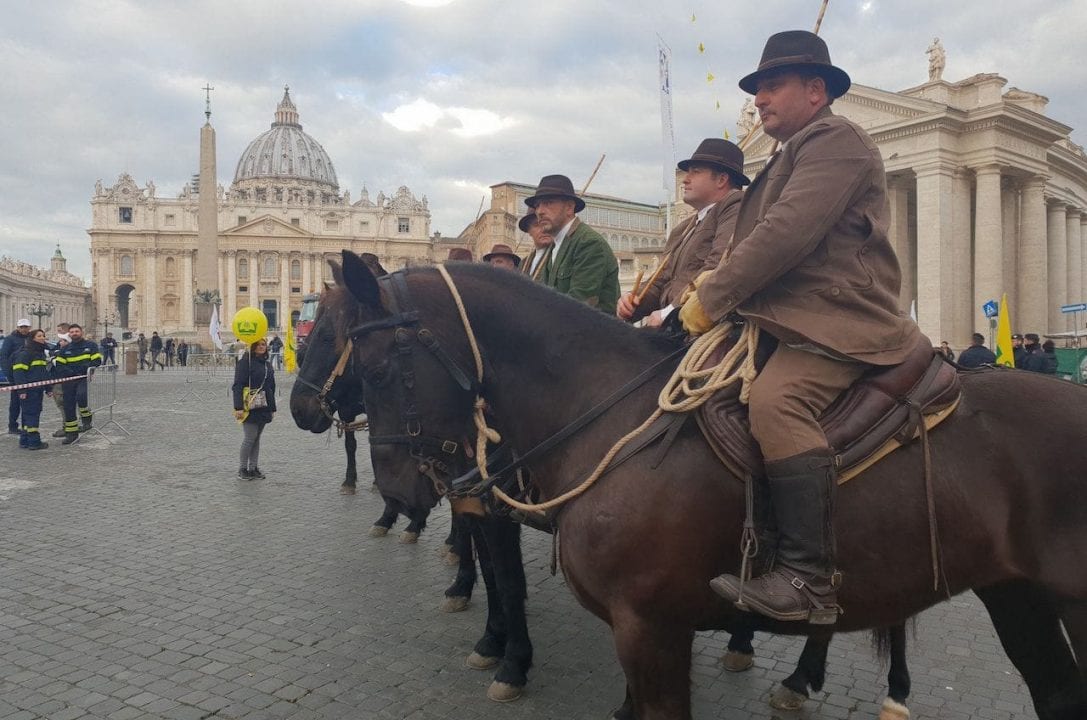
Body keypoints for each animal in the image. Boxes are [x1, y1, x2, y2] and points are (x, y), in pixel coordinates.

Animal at [326, 253, 1087, 720]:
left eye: (379, 363)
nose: (399, 492)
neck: (604, 415)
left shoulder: (651, 627)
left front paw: (508, 659)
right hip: (1015, 597)